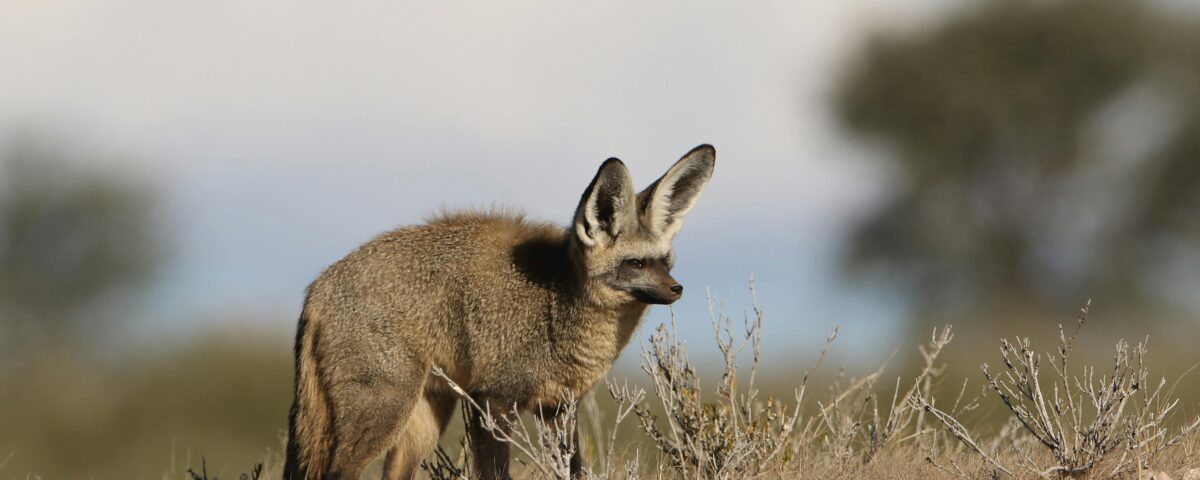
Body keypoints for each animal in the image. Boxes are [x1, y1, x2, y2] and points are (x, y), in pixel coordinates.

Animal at [283, 145, 715, 480]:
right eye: (636, 264)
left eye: (665, 263)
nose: (677, 289)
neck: (556, 311)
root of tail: (318, 285)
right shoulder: (491, 400)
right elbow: (495, 472)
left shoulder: (559, 408)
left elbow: (573, 471)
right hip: (385, 410)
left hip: (422, 421)